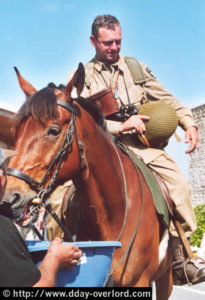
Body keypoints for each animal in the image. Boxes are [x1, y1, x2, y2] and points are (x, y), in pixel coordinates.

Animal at [4, 64, 172, 296]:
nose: (10, 198)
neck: (116, 210)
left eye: (53, 130)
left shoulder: (140, 281)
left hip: (166, 278)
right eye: (16, 131)